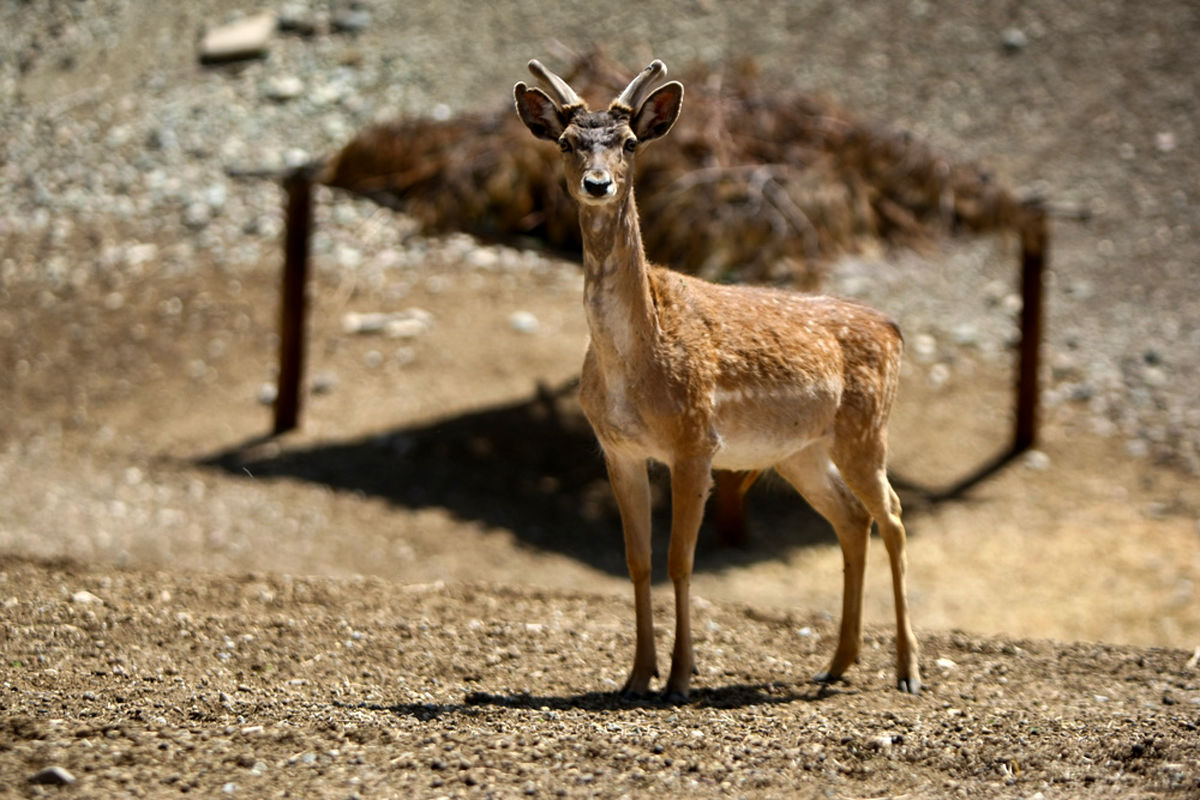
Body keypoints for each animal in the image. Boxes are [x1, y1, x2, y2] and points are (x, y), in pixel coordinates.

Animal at [513, 57, 916, 700]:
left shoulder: (695, 440)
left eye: (629, 143)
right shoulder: (617, 448)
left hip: (865, 431)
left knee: (894, 516)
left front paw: (680, 677)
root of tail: (894, 329)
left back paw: (907, 671)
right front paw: (636, 677)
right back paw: (835, 665)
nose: (598, 184)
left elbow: (680, 559)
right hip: (798, 452)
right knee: (852, 519)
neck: (635, 367)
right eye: (567, 142)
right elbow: (637, 560)